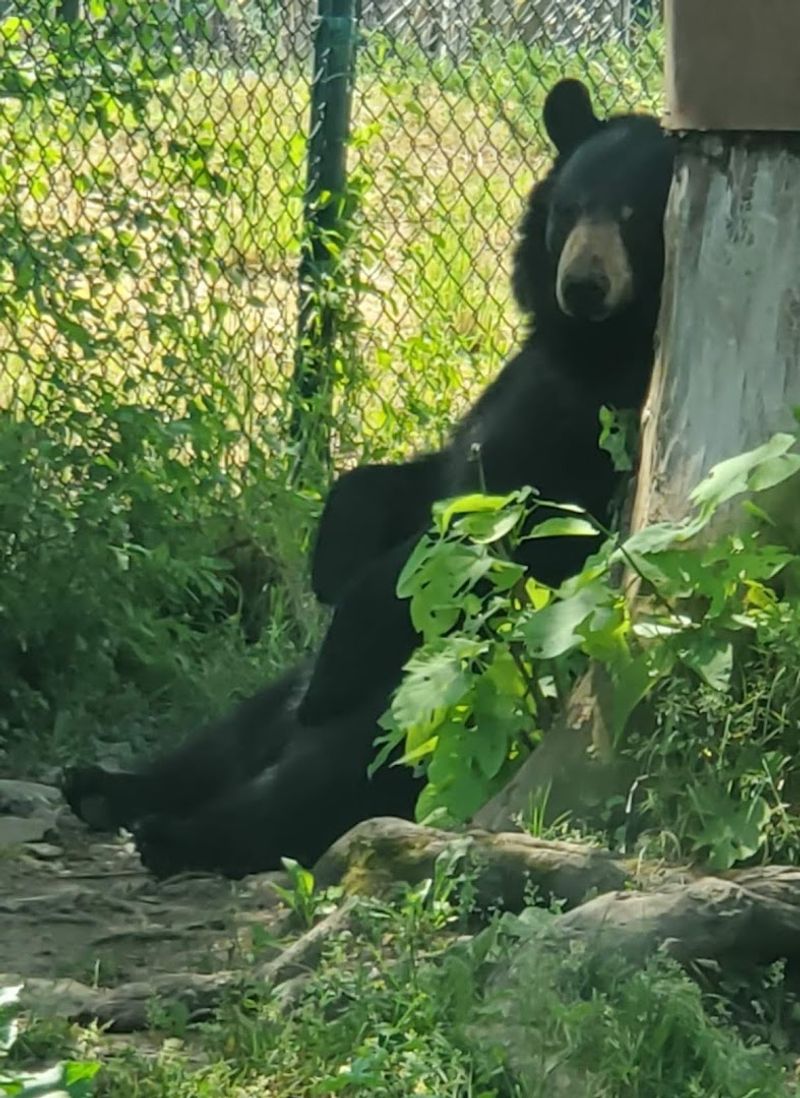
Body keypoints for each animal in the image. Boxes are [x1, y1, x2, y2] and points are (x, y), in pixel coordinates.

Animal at [61, 79, 676, 879]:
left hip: (443, 699)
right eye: (570, 209)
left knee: (325, 774)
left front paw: (345, 627)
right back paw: (106, 786)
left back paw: (182, 833)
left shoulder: (597, 433)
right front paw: (334, 549)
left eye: (634, 217)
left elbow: (494, 539)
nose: (584, 283)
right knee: (237, 731)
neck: (592, 344)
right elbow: (416, 480)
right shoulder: (518, 381)